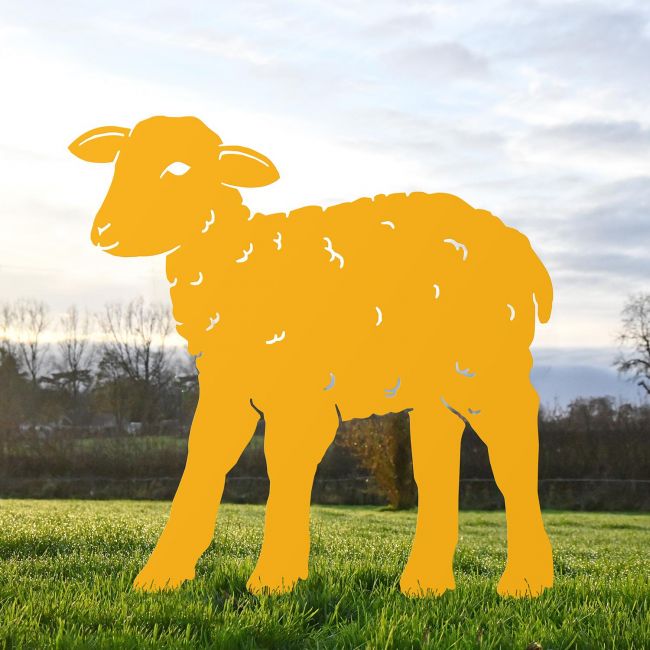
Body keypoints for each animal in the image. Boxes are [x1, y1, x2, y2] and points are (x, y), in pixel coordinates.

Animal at [69, 115, 554, 598]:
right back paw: (426, 584)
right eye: (118, 164)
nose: (104, 231)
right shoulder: (228, 386)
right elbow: (203, 462)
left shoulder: (299, 389)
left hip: (486, 364)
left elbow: (284, 467)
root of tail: (524, 249)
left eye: (179, 170)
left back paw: (525, 581)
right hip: (437, 385)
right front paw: (161, 577)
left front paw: (274, 578)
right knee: (437, 465)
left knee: (513, 453)